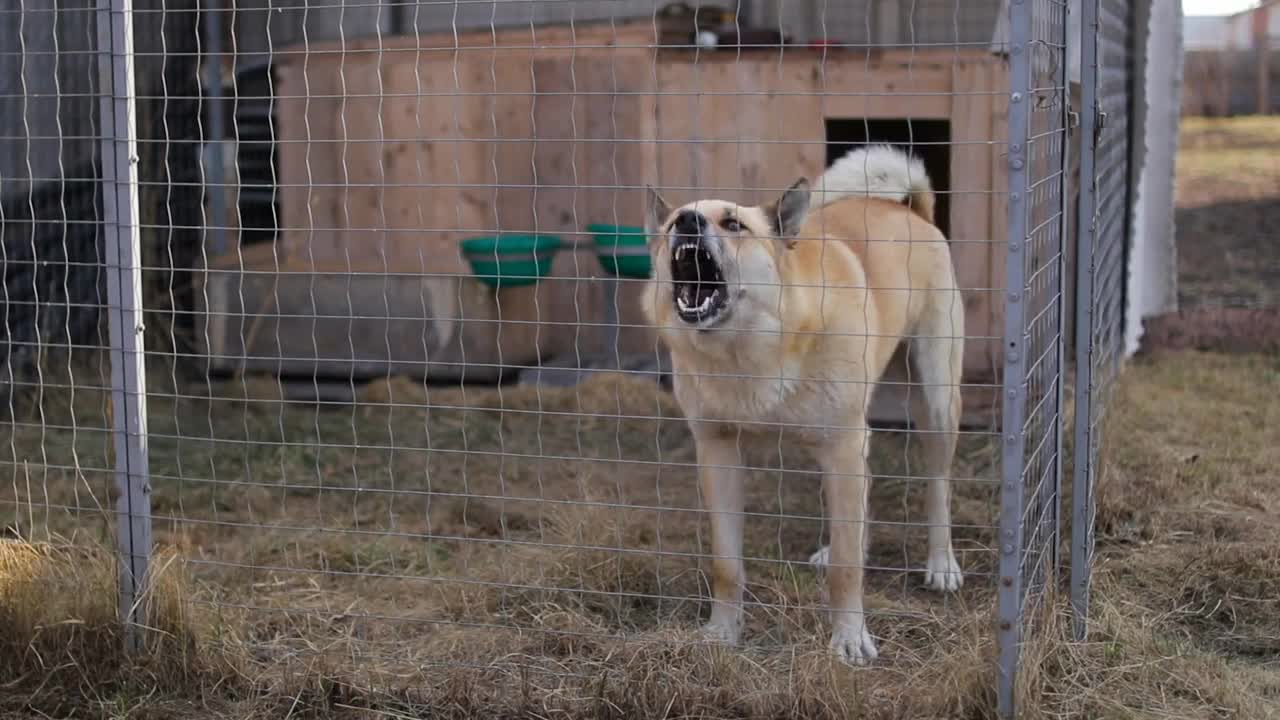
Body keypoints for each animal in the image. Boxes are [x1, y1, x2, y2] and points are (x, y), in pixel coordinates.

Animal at [640, 142, 962, 661]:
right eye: (673, 224)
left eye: (734, 224)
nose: (688, 221)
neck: (753, 347)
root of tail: (909, 210)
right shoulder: (718, 451)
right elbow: (726, 564)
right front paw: (722, 632)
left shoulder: (842, 446)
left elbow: (847, 571)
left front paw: (850, 639)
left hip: (936, 402)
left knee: (938, 485)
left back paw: (941, 563)